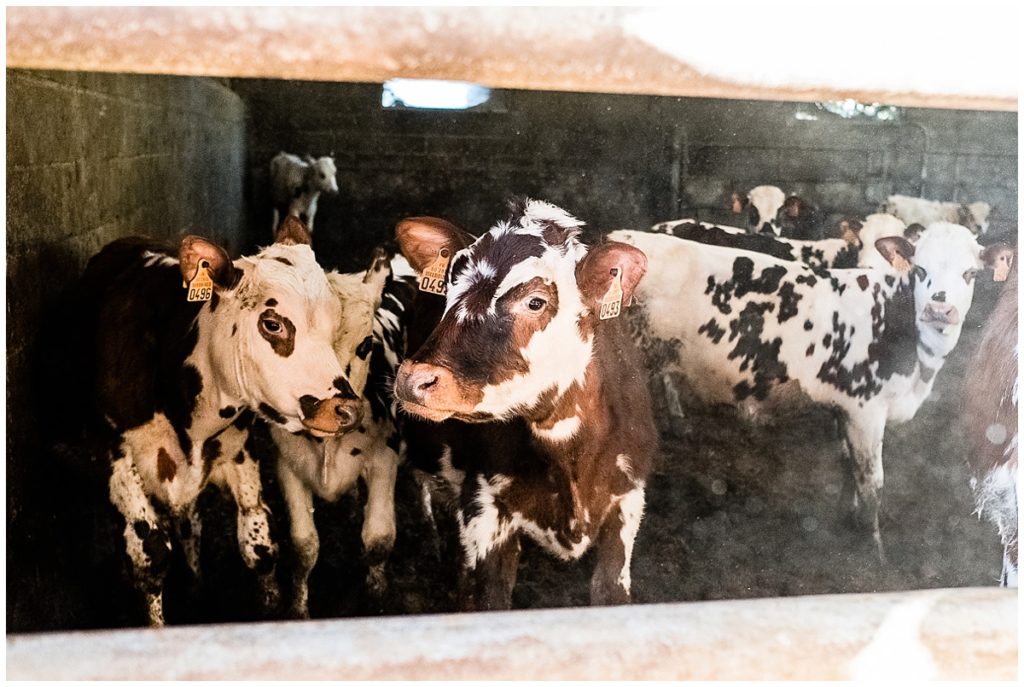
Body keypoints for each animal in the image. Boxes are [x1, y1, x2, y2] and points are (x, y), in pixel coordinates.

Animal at [72, 218, 360, 626]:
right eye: (273, 324)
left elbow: (258, 541)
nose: (346, 409)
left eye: (335, 322)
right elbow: (150, 554)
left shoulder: (239, 452)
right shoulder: (119, 459)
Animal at [270, 248, 421, 618]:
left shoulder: (384, 460)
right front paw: (297, 609)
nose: (334, 408)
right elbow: (304, 546)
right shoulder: (287, 465)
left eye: (365, 344)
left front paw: (376, 597)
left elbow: (378, 540)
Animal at [602, 223, 1011, 561]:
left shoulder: (846, 409)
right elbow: (872, 480)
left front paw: (849, 515)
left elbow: (848, 464)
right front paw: (874, 547)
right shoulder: (866, 410)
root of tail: (619, 236)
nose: (941, 309)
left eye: (970, 273)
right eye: (920, 270)